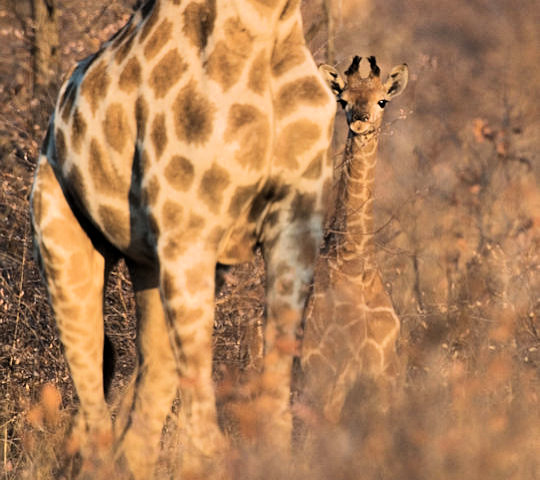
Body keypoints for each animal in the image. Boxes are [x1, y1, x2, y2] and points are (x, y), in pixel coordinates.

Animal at [302, 56, 408, 422]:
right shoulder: (333, 375)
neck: (354, 259)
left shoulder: (386, 374)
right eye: (343, 100)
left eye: (382, 101)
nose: (361, 123)